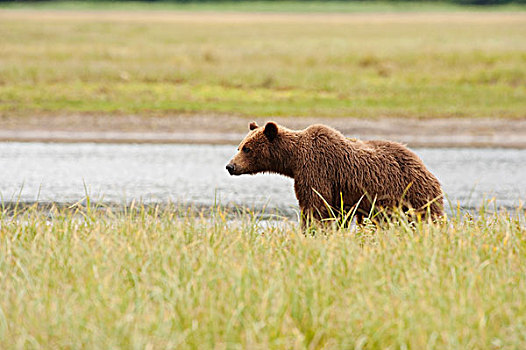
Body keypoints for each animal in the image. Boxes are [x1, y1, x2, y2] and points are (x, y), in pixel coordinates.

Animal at [227, 121, 446, 223]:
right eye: (239, 146)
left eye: (247, 149)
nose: (230, 166)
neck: (293, 160)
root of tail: (426, 168)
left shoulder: (317, 168)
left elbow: (315, 206)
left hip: (412, 194)